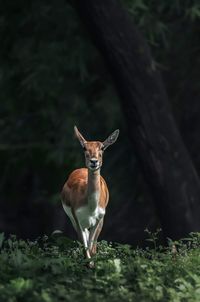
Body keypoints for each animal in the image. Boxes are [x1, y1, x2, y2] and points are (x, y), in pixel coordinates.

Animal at [61, 126, 119, 266]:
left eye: (102, 147)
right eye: (84, 147)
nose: (94, 161)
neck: (91, 207)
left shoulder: (98, 220)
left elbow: (91, 250)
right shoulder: (77, 219)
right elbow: (85, 249)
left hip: (99, 222)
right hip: (74, 221)